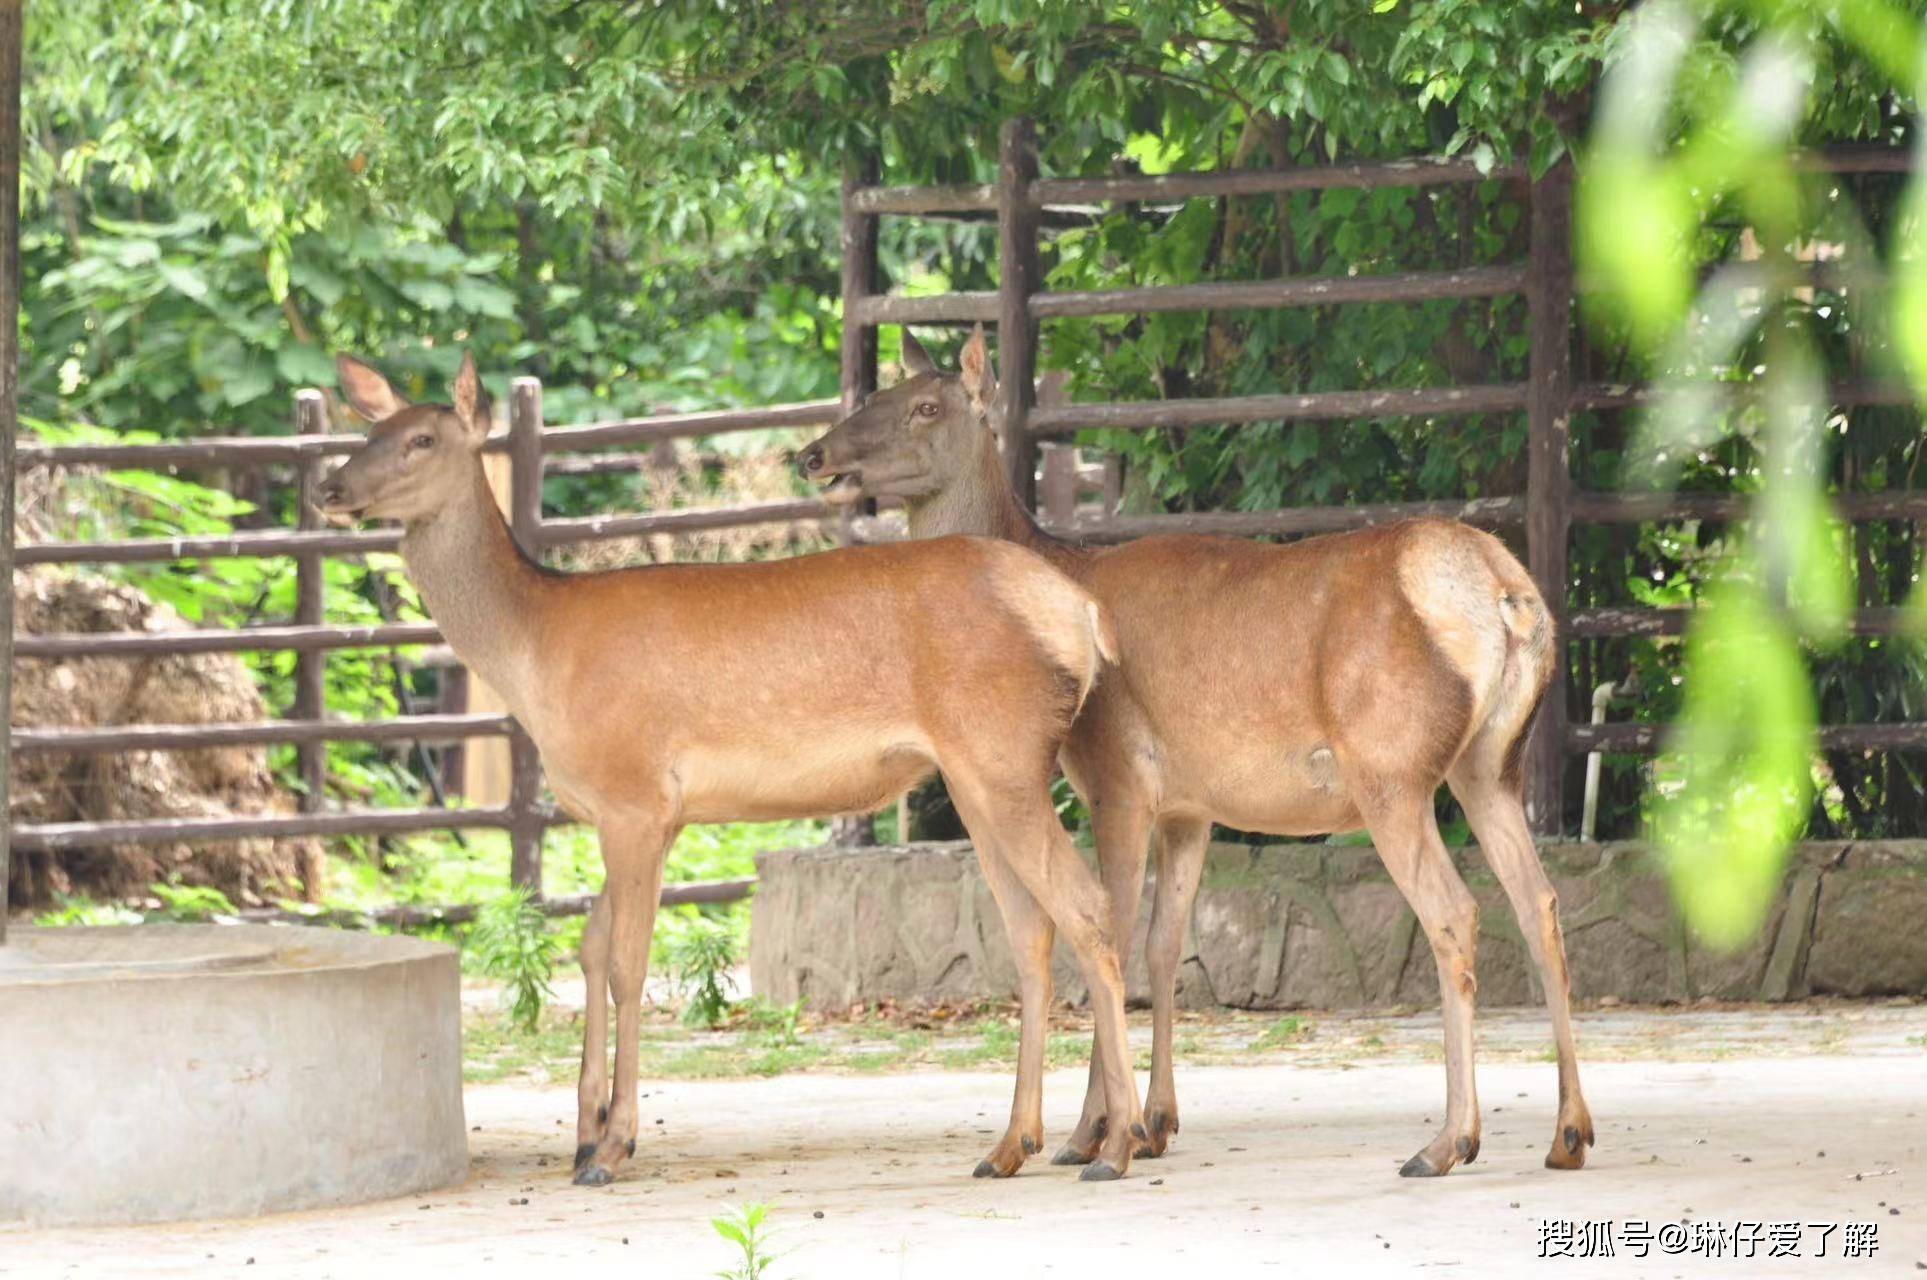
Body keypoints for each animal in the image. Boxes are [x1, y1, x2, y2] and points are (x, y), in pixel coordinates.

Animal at [316, 351, 1146, 1184]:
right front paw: (583, 1134)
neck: (536, 654)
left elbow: (625, 965)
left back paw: (1114, 1144)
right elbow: (589, 948)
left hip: (1003, 750)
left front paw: (611, 1146)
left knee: (1087, 906)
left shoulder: (634, 797)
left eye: (421, 439)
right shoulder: (637, 814)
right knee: (1031, 927)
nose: (327, 489)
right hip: (976, 774)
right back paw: (1012, 1144)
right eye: (367, 432)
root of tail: (1081, 614)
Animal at [797, 326, 1596, 1180]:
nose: (813, 454)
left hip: (1391, 768)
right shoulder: (1188, 807)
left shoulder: (1114, 773)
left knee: (1453, 912)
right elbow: (1162, 944)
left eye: (923, 406)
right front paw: (1155, 1122)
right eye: (878, 393)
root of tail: (1507, 595)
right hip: (1491, 765)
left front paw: (1094, 1134)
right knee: (1540, 902)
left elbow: (1109, 928)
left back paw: (1448, 1140)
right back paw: (1566, 1132)